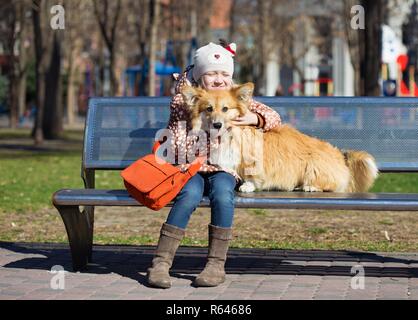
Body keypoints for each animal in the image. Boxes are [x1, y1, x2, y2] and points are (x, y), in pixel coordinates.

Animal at [181, 83, 378, 192]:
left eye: (225, 109)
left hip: (313, 167)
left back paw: (309, 186)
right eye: (208, 109)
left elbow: (253, 175)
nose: (217, 125)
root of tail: (341, 157)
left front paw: (248, 185)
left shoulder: (253, 160)